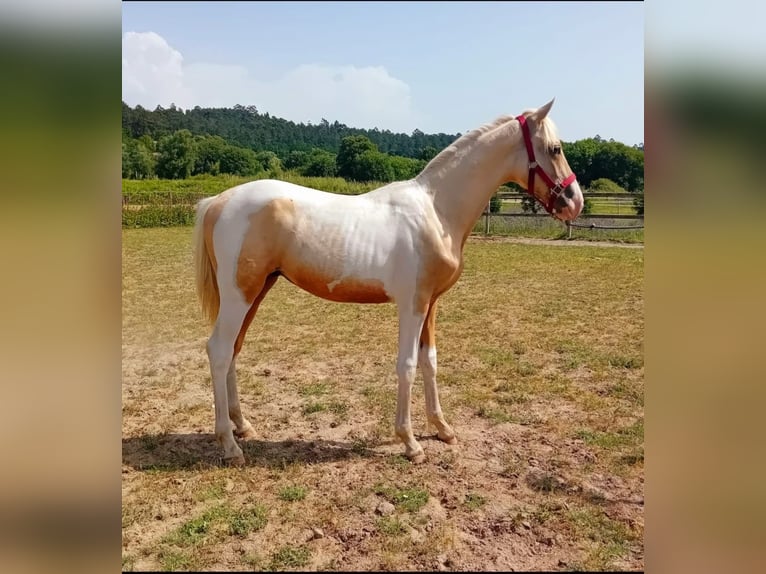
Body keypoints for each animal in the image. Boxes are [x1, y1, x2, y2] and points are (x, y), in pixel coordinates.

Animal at [195, 99, 584, 468]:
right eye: (555, 149)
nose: (575, 202)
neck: (436, 211)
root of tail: (218, 201)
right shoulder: (412, 304)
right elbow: (407, 365)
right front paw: (410, 443)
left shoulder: (431, 304)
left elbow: (430, 361)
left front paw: (442, 429)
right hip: (239, 295)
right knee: (219, 350)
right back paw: (229, 445)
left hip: (258, 290)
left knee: (233, 349)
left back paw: (243, 426)